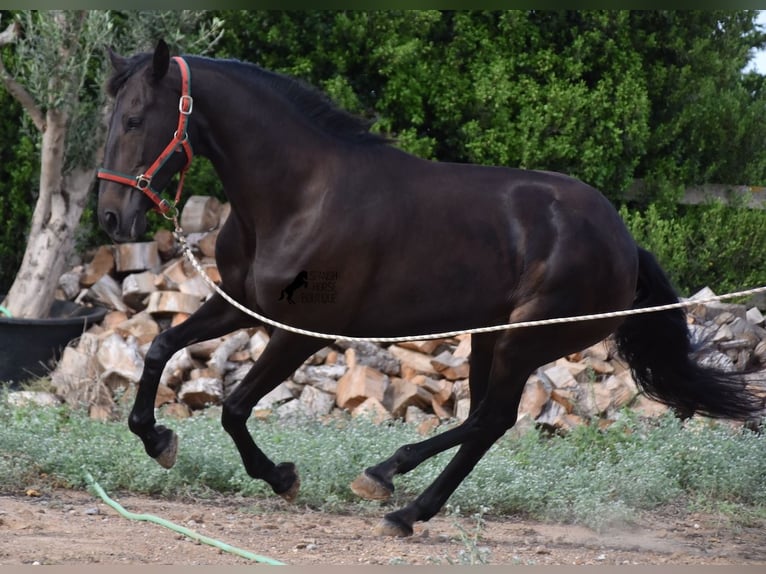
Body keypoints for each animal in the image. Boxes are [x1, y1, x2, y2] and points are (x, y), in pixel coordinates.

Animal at [97, 41, 766, 540]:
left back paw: (390, 486)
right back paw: (402, 502)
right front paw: (157, 439)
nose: (110, 218)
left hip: (525, 341)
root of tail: (623, 241)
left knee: (491, 418)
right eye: (110, 119)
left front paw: (282, 477)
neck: (298, 196)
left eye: (135, 120)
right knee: (485, 421)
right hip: (491, 338)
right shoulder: (242, 305)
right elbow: (160, 348)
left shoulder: (299, 332)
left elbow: (234, 407)